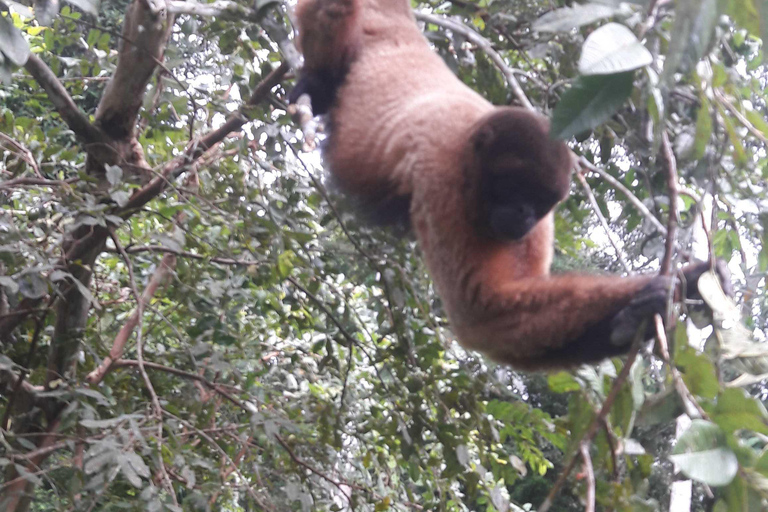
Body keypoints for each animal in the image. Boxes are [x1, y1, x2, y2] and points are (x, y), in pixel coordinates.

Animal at [290, 0, 732, 370]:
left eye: (538, 204)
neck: (470, 147)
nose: (523, 215)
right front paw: (658, 293)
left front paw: (670, 295)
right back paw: (314, 85)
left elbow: (516, 307)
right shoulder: (442, 182)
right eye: (515, 192)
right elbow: (482, 314)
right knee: (332, 16)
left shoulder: (540, 229)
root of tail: (402, 33)